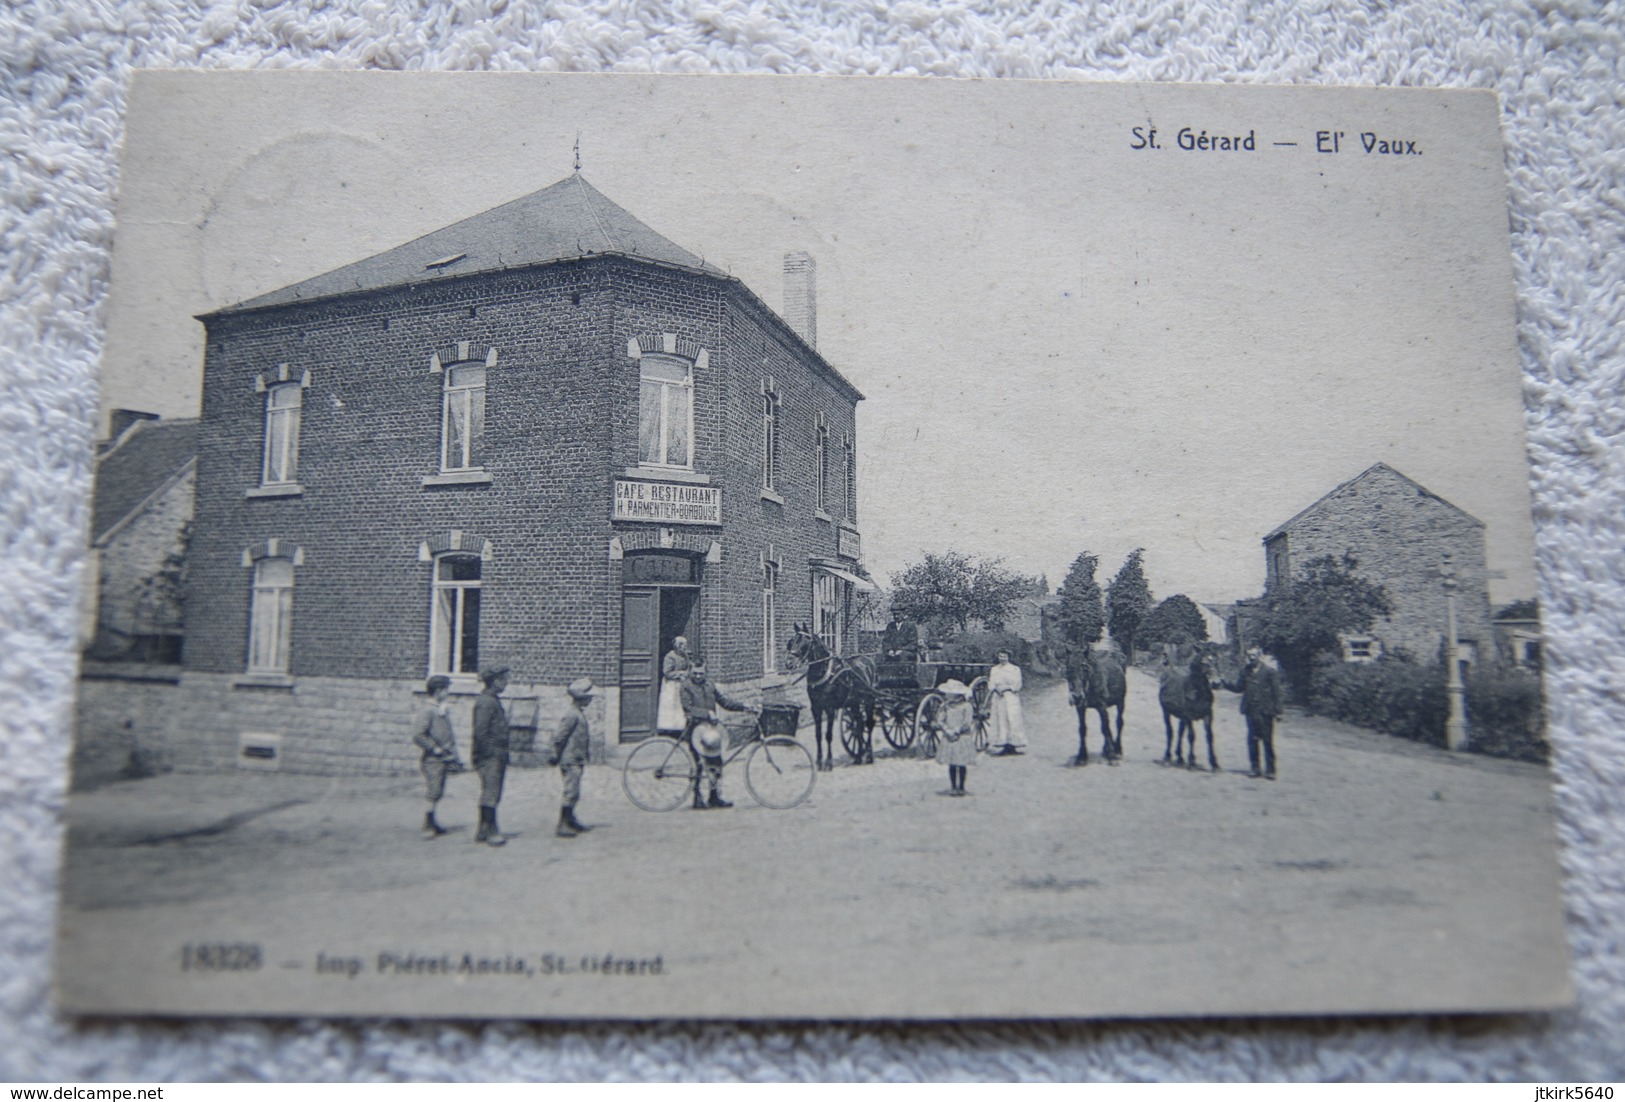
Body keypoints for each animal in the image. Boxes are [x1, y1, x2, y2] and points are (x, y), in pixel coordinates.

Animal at [786, 627, 877, 773]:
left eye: (804, 643)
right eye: (791, 642)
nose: (788, 663)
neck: (823, 672)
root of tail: (868, 659)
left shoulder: (830, 708)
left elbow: (828, 735)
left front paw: (828, 763)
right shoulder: (815, 708)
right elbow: (818, 734)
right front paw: (818, 761)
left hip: (869, 701)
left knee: (868, 724)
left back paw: (869, 755)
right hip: (854, 703)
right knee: (858, 724)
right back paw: (859, 756)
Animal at [1157, 643, 1222, 773]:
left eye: (1216, 661)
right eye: (1203, 662)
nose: (1216, 683)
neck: (1196, 691)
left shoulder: (1208, 715)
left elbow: (1209, 736)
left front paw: (1214, 764)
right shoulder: (1189, 716)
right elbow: (1192, 736)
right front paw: (1191, 762)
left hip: (1181, 717)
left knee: (1180, 731)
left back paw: (1180, 758)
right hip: (1166, 712)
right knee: (1170, 731)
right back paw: (1167, 757)